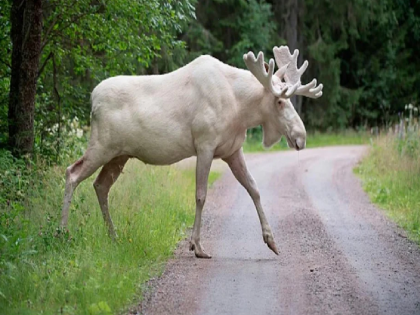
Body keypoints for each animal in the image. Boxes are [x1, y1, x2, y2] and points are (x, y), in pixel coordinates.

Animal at [60, 47, 322, 260]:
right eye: (279, 101)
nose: (301, 137)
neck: (240, 109)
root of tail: (92, 99)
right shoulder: (205, 145)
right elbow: (201, 195)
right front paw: (197, 246)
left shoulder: (232, 150)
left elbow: (254, 189)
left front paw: (271, 241)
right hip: (101, 146)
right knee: (72, 173)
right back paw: (62, 232)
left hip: (119, 155)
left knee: (100, 185)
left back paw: (113, 236)